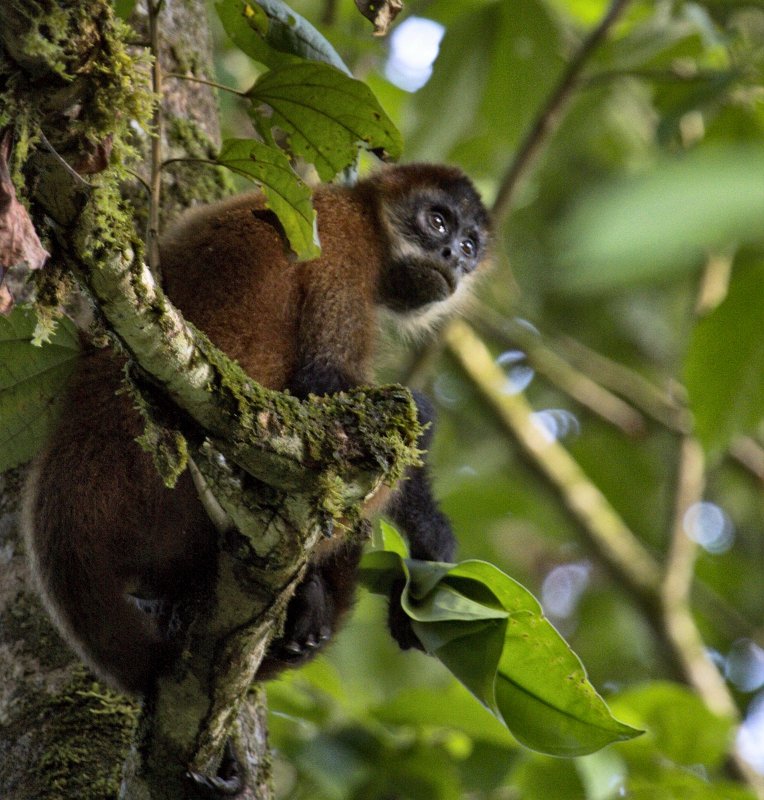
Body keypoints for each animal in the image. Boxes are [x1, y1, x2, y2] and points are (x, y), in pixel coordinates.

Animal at [22, 159, 490, 784]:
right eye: (437, 222)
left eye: (469, 245)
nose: (453, 259)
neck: (361, 210)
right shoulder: (341, 240)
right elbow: (324, 387)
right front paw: (431, 542)